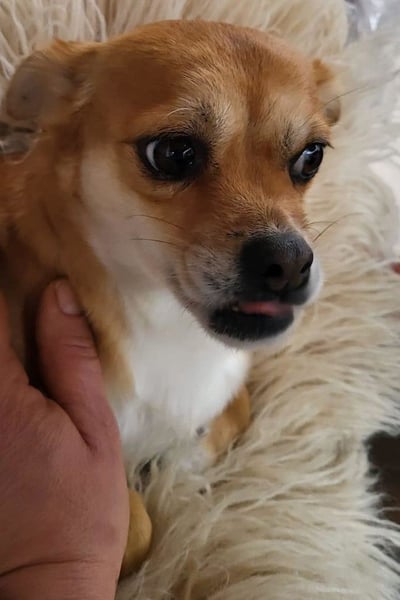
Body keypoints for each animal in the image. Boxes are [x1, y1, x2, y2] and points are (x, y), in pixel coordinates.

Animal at [0, 20, 339, 575]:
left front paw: (180, 467)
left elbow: (234, 412)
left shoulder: (228, 383)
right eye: (173, 153)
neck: (165, 325)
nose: (289, 260)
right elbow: (135, 525)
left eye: (311, 157)